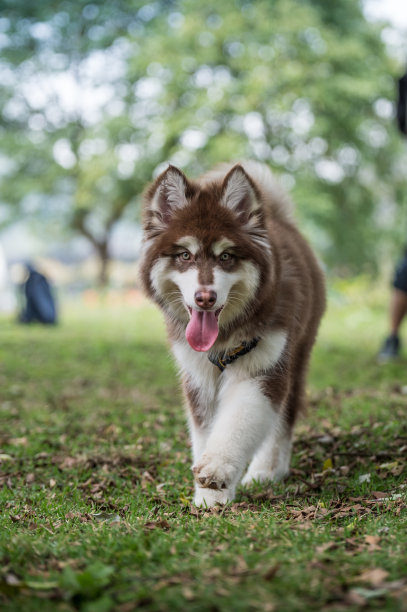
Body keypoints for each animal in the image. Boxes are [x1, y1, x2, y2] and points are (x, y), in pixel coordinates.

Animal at [140, 160, 326, 504]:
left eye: (226, 256)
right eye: (185, 255)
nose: (205, 297)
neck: (224, 337)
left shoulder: (260, 370)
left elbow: (236, 425)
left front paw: (217, 470)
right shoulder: (198, 377)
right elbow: (205, 432)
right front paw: (209, 496)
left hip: (296, 354)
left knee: (283, 419)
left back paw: (267, 471)